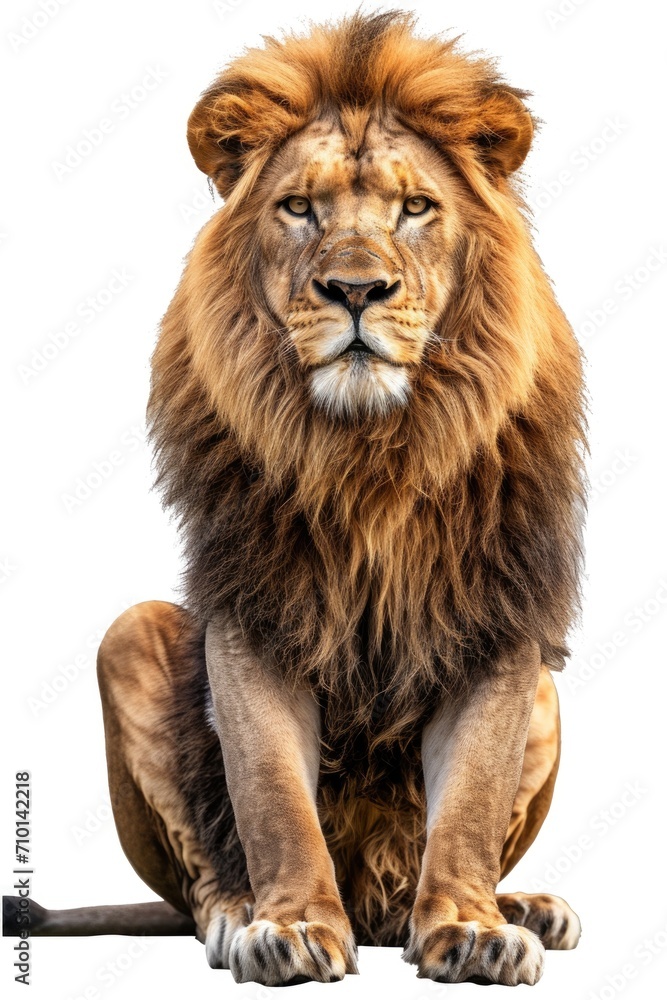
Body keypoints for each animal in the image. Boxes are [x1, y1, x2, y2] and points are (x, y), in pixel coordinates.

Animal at [4, 10, 586, 987]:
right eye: (299, 207)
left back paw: (522, 905)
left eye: (415, 208)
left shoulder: (500, 616)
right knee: (201, 872)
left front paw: (471, 927)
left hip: (545, 692)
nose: (354, 290)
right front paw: (290, 927)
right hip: (128, 633)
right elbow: (271, 794)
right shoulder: (254, 606)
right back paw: (235, 914)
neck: (369, 452)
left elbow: (469, 799)